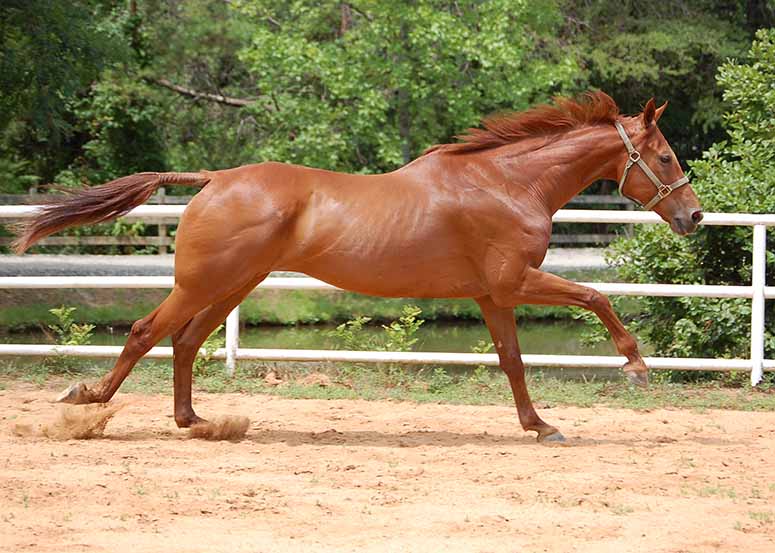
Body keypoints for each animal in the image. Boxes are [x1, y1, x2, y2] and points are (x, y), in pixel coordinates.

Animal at [12, 94, 704, 440]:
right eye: (666, 157)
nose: (694, 216)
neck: (505, 183)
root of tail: (215, 178)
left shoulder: (492, 296)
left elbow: (513, 361)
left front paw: (540, 427)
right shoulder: (515, 283)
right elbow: (596, 296)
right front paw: (636, 365)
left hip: (235, 283)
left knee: (183, 341)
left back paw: (196, 422)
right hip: (203, 282)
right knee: (145, 333)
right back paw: (87, 404)